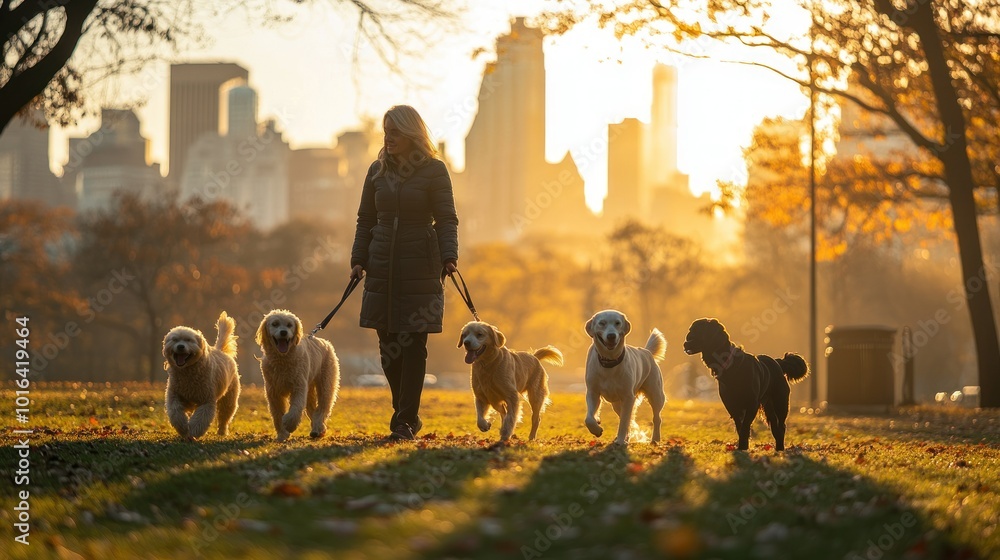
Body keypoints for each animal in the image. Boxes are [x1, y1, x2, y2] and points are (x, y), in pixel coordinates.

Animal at [165, 312, 243, 440]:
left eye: (189, 340)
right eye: (174, 340)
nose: (180, 346)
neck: (187, 372)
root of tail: (220, 350)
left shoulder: (207, 400)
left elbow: (201, 418)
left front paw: (193, 431)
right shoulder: (174, 395)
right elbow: (176, 412)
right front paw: (183, 428)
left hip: (229, 398)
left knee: (224, 416)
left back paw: (222, 431)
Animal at [256, 310, 342, 442]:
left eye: (289, 325)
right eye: (275, 324)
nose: (283, 332)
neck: (283, 359)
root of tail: (326, 343)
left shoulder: (298, 386)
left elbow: (296, 407)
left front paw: (289, 424)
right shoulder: (273, 391)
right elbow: (277, 413)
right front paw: (282, 434)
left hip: (326, 385)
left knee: (323, 408)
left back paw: (319, 428)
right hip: (310, 389)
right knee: (313, 410)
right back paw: (316, 429)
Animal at [584, 310, 668, 446]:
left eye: (617, 323)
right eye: (602, 323)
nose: (611, 336)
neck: (610, 361)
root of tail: (646, 351)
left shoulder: (628, 397)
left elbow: (624, 422)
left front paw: (620, 440)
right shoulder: (593, 392)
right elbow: (589, 418)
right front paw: (596, 428)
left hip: (656, 394)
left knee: (656, 418)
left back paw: (655, 439)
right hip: (617, 404)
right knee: (629, 418)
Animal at [684, 320, 808, 450]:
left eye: (698, 331)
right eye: (690, 331)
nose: (685, 344)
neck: (730, 364)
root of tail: (778, 362)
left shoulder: (752, 403)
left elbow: (745, 426)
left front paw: (743, 446)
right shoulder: (731, 405)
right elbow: (740, 426)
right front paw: (742, 446)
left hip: (780, 402)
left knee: (781, 426)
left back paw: (780, 448)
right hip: (768, 406)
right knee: (775, 426)